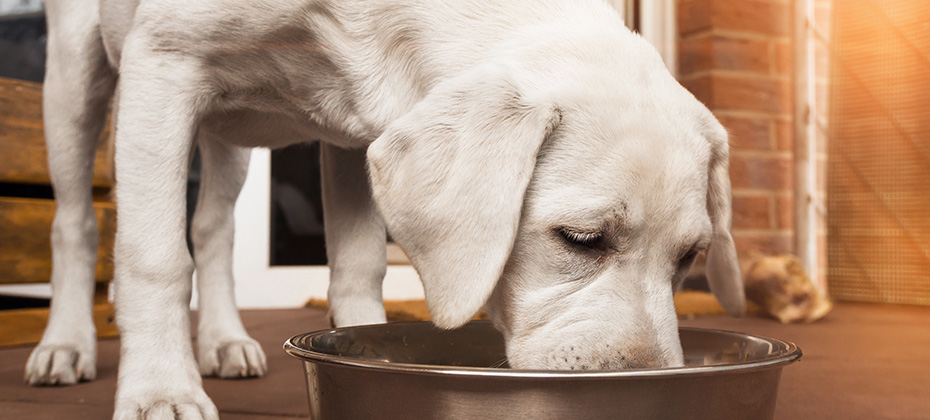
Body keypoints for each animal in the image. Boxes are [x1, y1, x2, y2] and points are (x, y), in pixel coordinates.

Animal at [25, 0, 744, 418]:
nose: (647, 387)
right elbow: (154, 257)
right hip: (77, 78)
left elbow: (358, 267)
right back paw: (65, 345)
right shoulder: (164, 58)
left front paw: (360, 347)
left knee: (213, 228)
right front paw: (160, 392)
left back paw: (225, 340)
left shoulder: (353, 133)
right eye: (581, 239)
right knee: (75, 224)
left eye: (689, 258)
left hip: (225, 134)